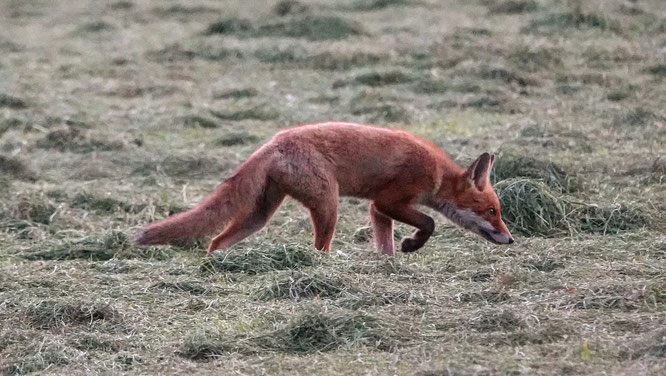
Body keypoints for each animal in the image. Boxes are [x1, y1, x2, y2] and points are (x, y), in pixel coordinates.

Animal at [132, 122, 510, 256]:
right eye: (492, 211)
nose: (510, 239)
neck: (436, 174)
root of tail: (275, 141)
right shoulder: (390, 200)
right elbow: (429, 223)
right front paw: (411, 245)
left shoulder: (377, 208)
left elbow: (384, 243)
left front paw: (389, 262)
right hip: (329, 206)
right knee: (319, 248)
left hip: (261, 214)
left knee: (216, 241)